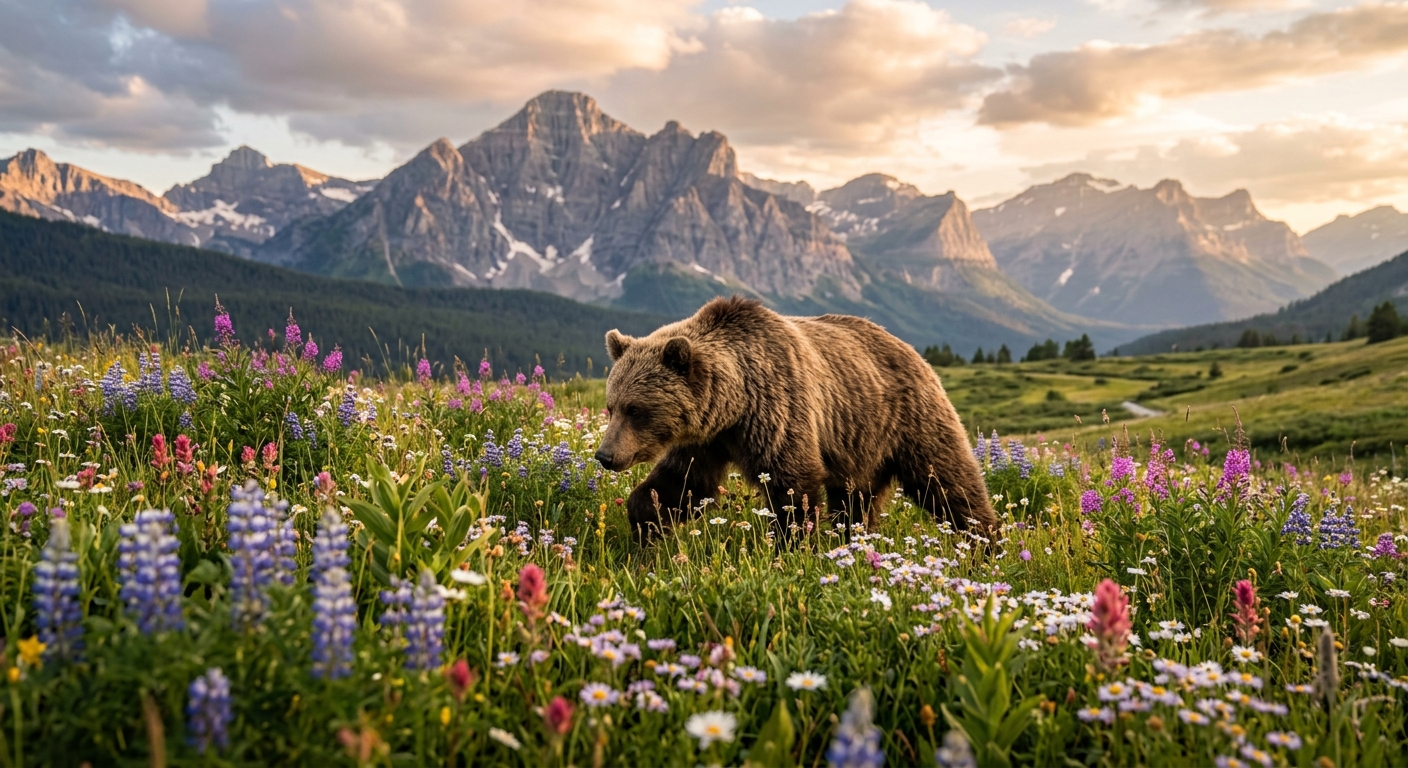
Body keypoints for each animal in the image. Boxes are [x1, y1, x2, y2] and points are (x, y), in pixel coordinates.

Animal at [594, 296, 999, 540]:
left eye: (636, 409)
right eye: (612, 406)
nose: (605, 455)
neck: (735, 404)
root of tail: (912, 350)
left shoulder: (778, 410)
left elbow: (792, 485)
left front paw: (791, 545)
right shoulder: (706, 439)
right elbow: (682, 483)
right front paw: (647, 525)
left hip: (909, 419)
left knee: (947, 482)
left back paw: (985, 542)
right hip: (860, 445)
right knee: (856, 500)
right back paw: (853, 539)